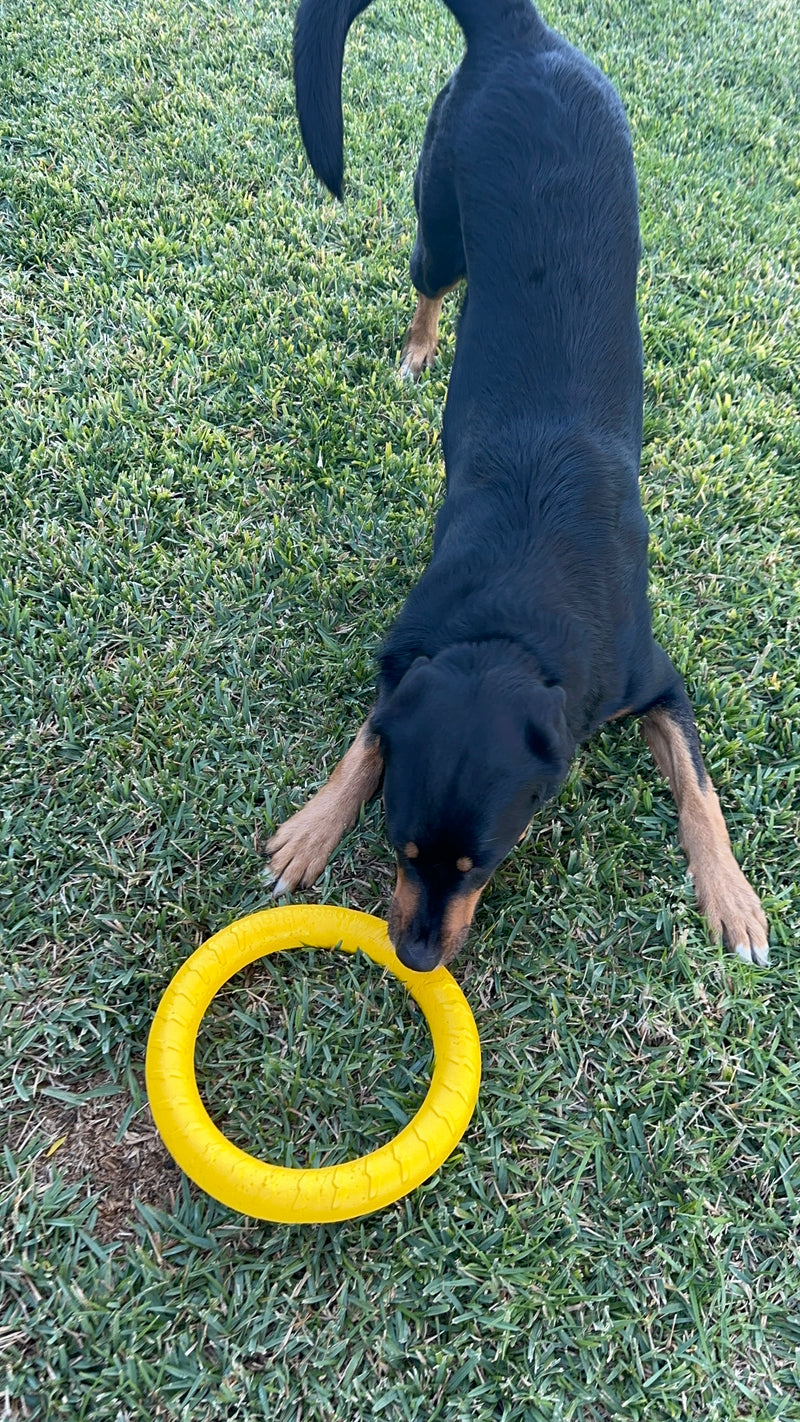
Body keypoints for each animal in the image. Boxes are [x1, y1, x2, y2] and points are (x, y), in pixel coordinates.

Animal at [265, 0, 767, 972]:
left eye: (487, 860)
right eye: (400, 847)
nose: (417, 959)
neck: (513, 622)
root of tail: (520, 35)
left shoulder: (655, 678)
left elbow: (700, 789)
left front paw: (732, 896)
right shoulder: (410, 658)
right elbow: (364, 743)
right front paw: (313, 826)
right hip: (440, 222)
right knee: (427, 284)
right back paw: (418, 352)